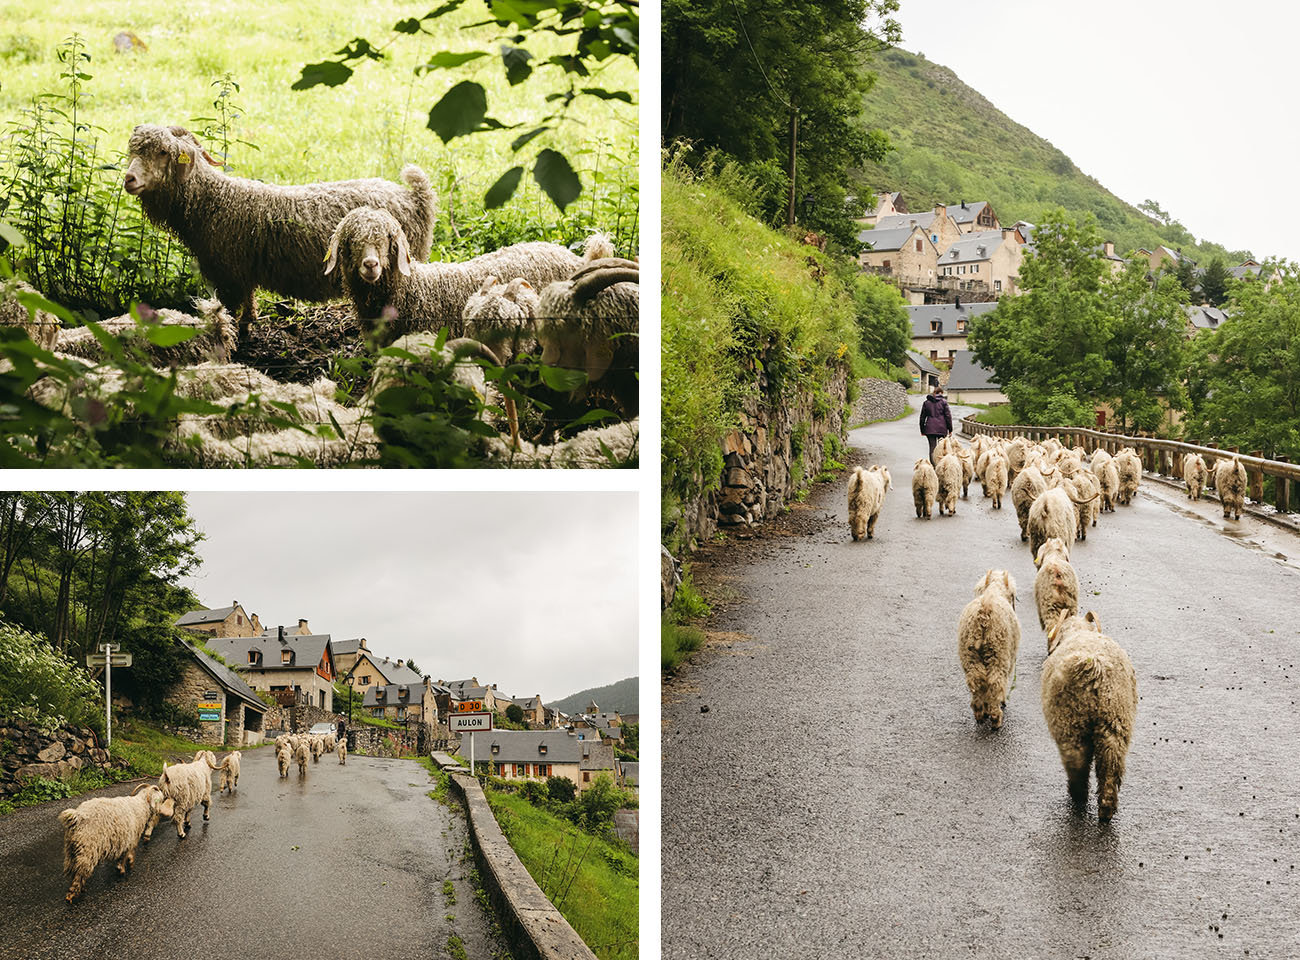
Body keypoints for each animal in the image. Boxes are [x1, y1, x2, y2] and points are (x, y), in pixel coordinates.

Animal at [118, 124, 431, 335]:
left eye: (162, 152)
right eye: (134, 151)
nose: (129, 179)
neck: (214, 201)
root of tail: (417, 198)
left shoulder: (227, 273)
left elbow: (229, 310)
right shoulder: (242, 271)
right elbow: (248, 302)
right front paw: (247, 327)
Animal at [956, 567, 1024, 723]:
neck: (994, 591)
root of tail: (984, 611)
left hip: (969, 654)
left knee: (976, 679)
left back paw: (979, 712)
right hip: (999, 654)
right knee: (996, 682)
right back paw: (995, 717)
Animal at [1040, 608, 1133, 816]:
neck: (1077, 631)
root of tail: (1092, 665)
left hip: (1069, 723)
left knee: (1076, 763)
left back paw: (1078, 796)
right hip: (1115, 722)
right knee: (1111, 764)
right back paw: (1106, 807)